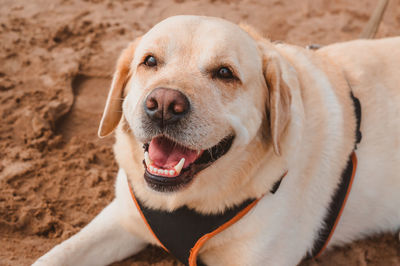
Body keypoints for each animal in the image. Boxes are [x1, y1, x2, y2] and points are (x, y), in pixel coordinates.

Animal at [32, 15, 398, 264]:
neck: (185, 203)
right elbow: (57, 254)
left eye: (225, 73)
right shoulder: (122, 217)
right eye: (149, 61)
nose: (163, 105)